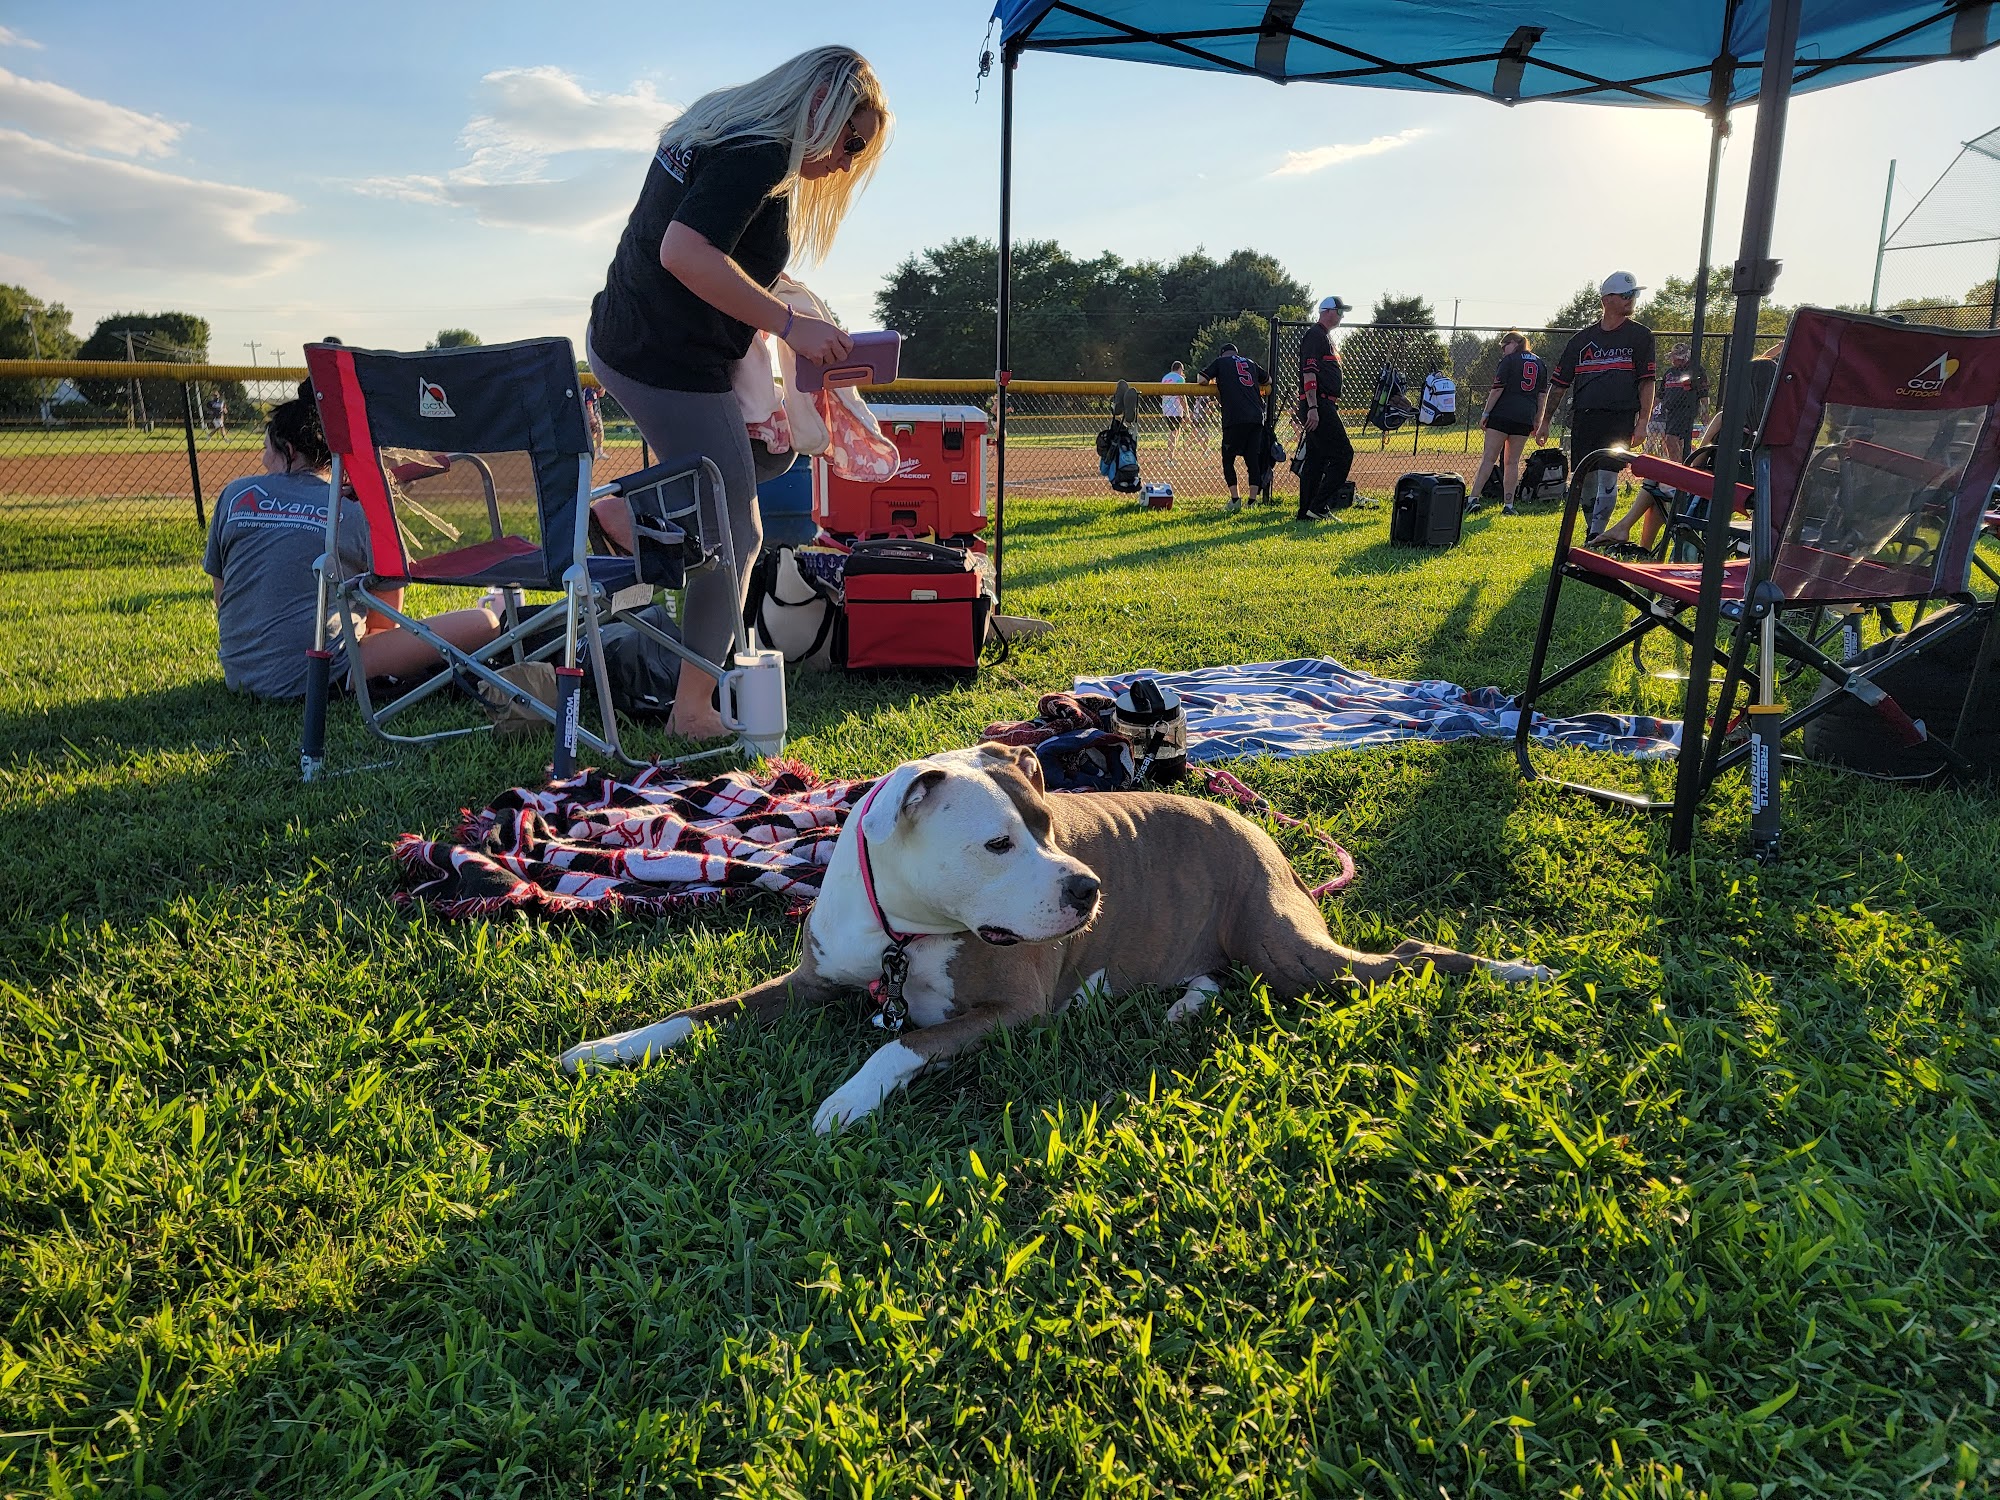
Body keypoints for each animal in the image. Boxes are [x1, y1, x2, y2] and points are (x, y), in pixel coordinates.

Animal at [560, 744, 1551, 1133]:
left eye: (1049, 822)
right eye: (1000, 842)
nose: (1090, 888)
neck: (906, 929)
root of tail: (1249, 821)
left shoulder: (1013, 1009)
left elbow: (900, 1045)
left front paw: (845, 1100)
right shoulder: (815, 978)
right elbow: (703, 1010)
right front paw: (610, 1045)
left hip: (1288, 945)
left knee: (1410, 958)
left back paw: (1517, 968)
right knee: (1213, 978)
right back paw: (1180, 1006)